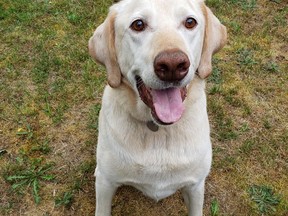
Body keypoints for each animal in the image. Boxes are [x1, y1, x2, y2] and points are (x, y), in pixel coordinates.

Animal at [89, 0, 226, 214]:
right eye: (138, 24)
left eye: (190, 22)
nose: (172, 65)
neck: (159, 129)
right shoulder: (106, 184)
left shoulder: (195, 186)